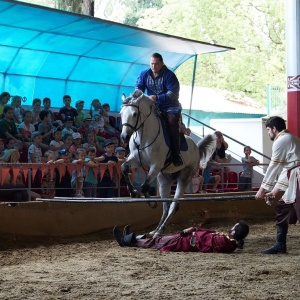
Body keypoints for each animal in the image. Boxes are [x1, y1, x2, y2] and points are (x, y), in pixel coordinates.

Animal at [119, 89, 216, 237]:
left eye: (134, 114)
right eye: (121, 114)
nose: (124, 137)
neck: (144, 137)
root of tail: (197, 149)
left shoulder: (155, 166)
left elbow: (145, 186)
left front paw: (151, 203)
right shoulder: (136, 160)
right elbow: (124, 167)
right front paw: (133, 192)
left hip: (184, 178)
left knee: (173, 206)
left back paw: (160, 229)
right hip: (164, 179)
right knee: (166, 206)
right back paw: (157, 230)